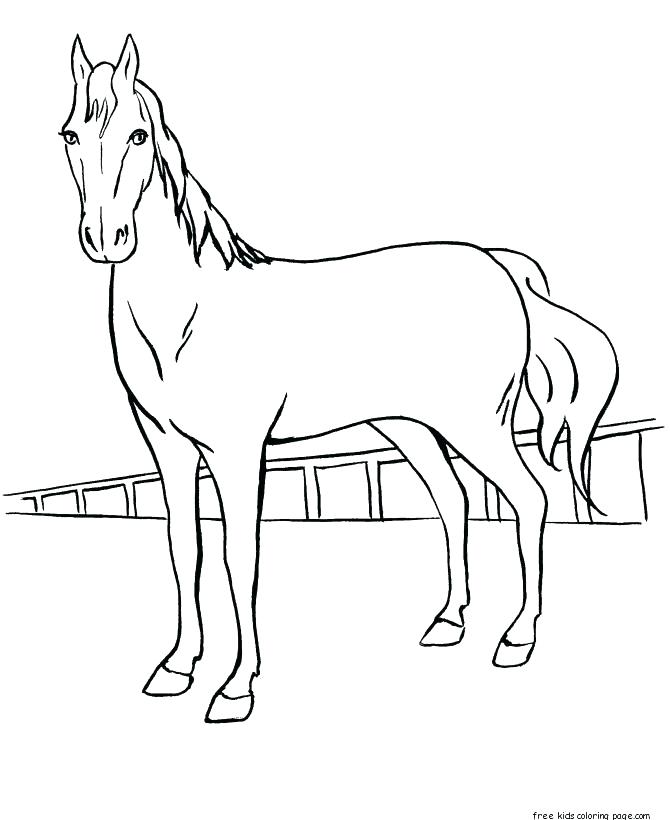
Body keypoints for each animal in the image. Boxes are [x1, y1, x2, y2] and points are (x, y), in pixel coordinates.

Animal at [60, 35, 618, 723]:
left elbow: (239, 558)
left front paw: (235, 688)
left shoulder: (237, 452)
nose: (104, 238)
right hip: (412, 427)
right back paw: (449, 623)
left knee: (530, 498)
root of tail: (502, 266)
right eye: (71, 135)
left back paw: (517, 639)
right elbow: (184, 551)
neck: (188, 310)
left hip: (476, 426)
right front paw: (176, 668)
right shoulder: (167, 447)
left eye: (139, 135)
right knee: (453, 501)